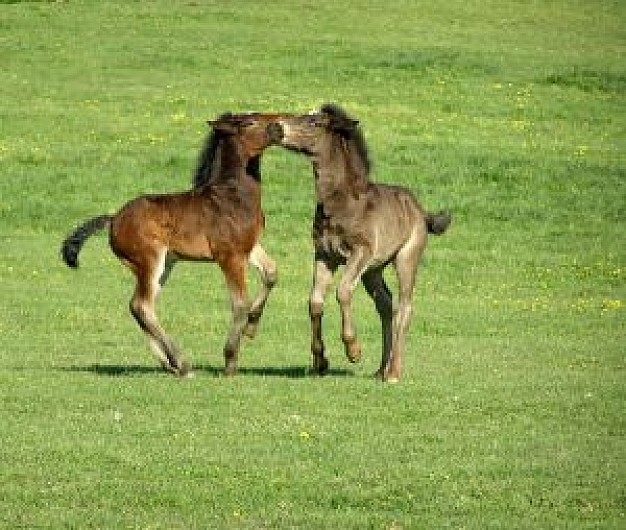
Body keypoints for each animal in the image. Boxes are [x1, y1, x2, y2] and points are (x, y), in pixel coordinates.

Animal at [59, 112, 284, 376]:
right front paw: (230, 361)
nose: (279, 128)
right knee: (141, 305)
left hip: (164, 264)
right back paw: (182, 363)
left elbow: (271, 273)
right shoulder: (229, 255)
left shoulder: (249, 247)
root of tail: (113, 218)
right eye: (249, 122)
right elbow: (240, 303)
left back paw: (169, 363)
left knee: (141, 306)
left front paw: (251, 327)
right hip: (149, 260)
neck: (232, 194)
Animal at [278, 103, 448, 382]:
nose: (278, 127)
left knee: (404, 307)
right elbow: (315, 301)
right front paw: (320, 361)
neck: (342, 203)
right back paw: (380, 370)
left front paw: (354, 350)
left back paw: (393, 373)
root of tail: (421, 212)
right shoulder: (324, 255)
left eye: (315, 122)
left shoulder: (360, 252)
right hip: (374, 270)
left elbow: (343, 291)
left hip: (406, 258)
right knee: (385, 304)